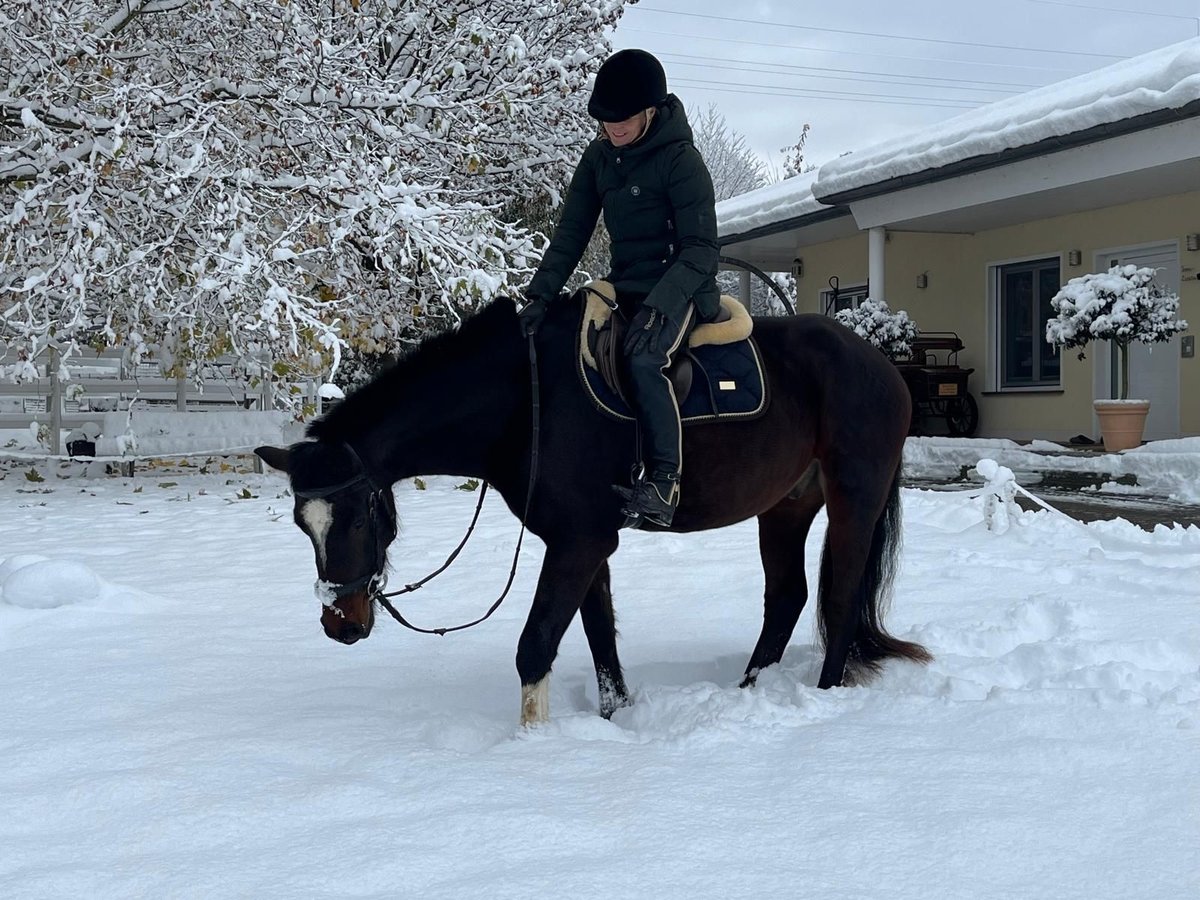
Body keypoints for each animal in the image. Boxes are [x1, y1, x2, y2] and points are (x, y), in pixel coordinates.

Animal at [253, 292, 926, 729]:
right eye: (303, 525)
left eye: (357, 518)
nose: (340, 623)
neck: (526, 403)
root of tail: (881, 364)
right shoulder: (586, 543)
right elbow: (600, 638)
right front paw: (614, 720)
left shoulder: (578, 543)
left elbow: (535, 645)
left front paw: (534, 745)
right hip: (785, 507)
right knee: (787, 596)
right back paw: (749, 691)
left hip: (854, 498)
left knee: (840, 597)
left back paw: (823, 696)